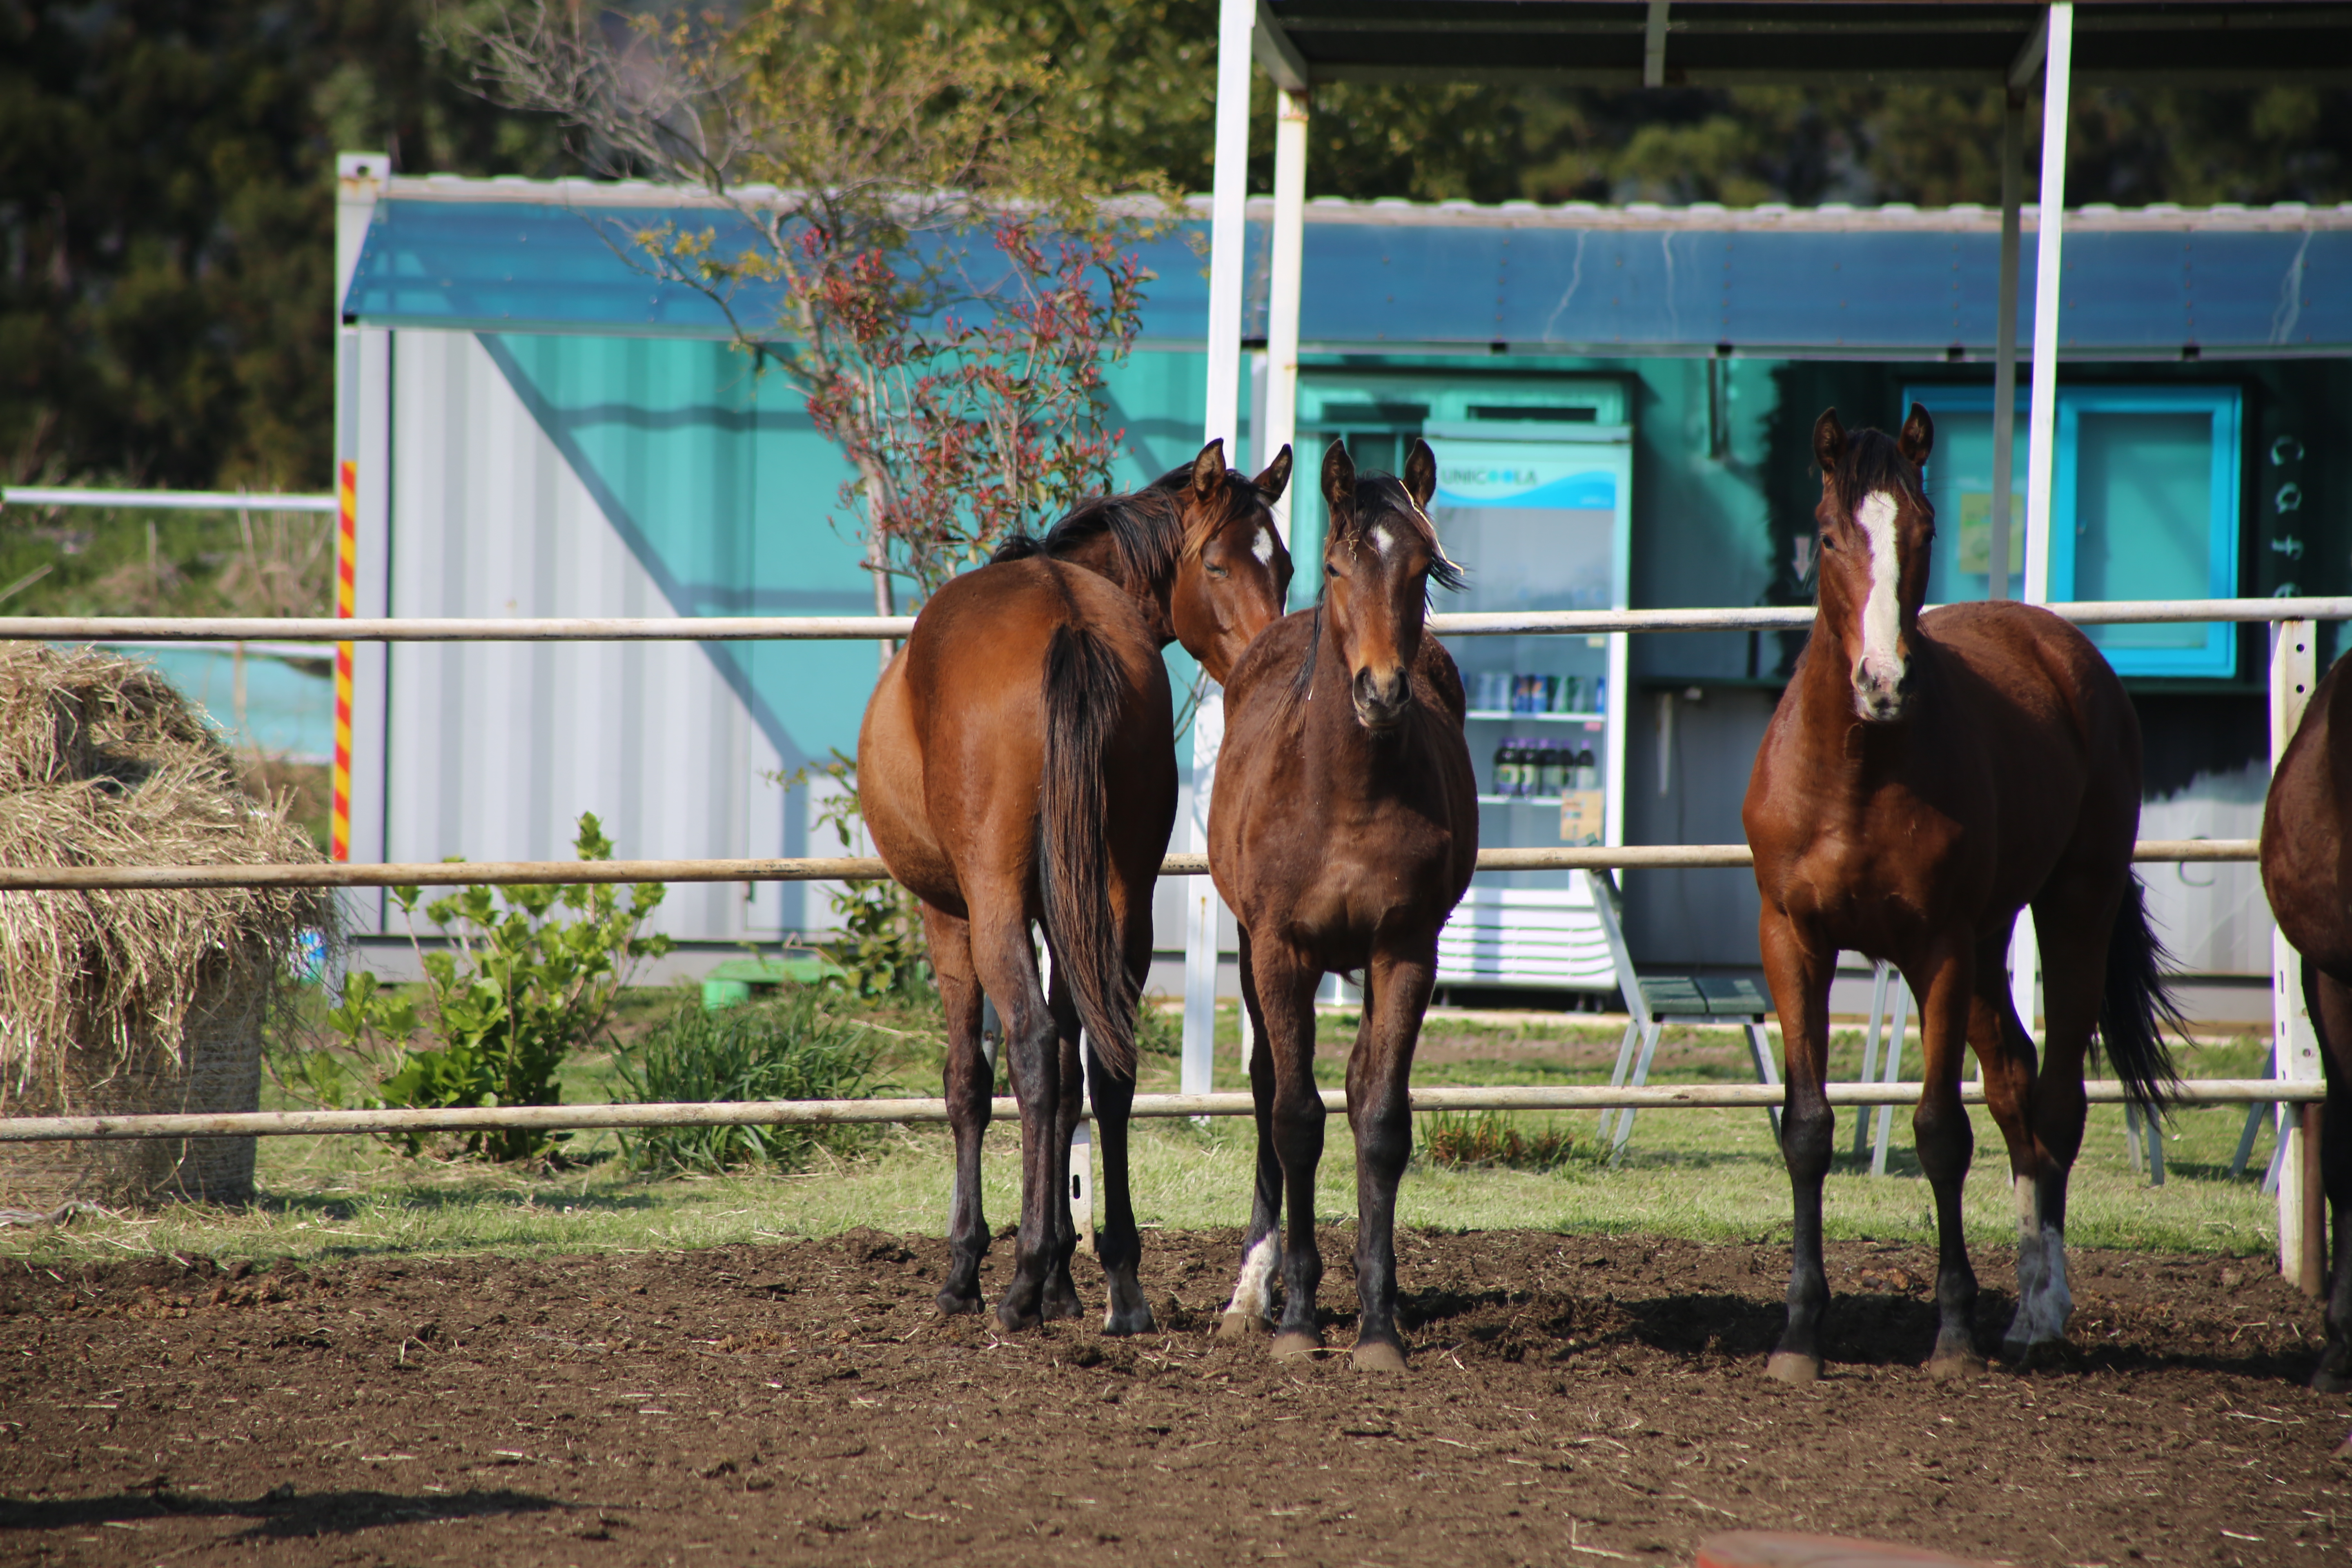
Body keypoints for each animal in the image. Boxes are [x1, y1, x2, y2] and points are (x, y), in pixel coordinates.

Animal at [861, 439, 1298, 1335]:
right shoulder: (1076, 913)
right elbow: (1071, 1081)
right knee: (1108, 1066)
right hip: (1122, 895)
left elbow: (974, 1081)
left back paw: (1019, 1282)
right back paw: (1120, 1285)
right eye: (1219, 563)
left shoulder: (949, 912)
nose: (1269, 657)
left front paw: (973, 1269)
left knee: (1027, 1048)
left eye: (1286, 566)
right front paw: (1067, 1274)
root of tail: (1065, 619)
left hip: (993, 900)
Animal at [1214, 442, 1468, 1373]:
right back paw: (1258, 1291)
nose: (1382, 693)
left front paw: (1377, 1328)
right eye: (1334, 566)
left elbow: (1382, 1121)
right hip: (1255, 954)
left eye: (1424, 568)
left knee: (1359, 1092)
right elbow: (1294, 1118)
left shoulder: (1406, 951)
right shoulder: (1281, 951)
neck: (1345, 795)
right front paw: (1293, 1321)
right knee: (1266, 1091)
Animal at [1740, 409, 2173, 1382]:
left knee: (2056, 1100)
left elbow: (1940, 1131)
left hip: (2072, 906)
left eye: (1926, 531)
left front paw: (1950, 1334)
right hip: (1987, 943)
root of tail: (2061, 649)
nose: (1883, 681)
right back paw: (2024, 1301)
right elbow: (1808, 1130)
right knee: (2014, 1081)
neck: (1857, 769)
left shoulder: (1934, 948)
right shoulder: (1793, 940)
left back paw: (2041, 1311)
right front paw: (1798, 1335)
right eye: (1830, 536)